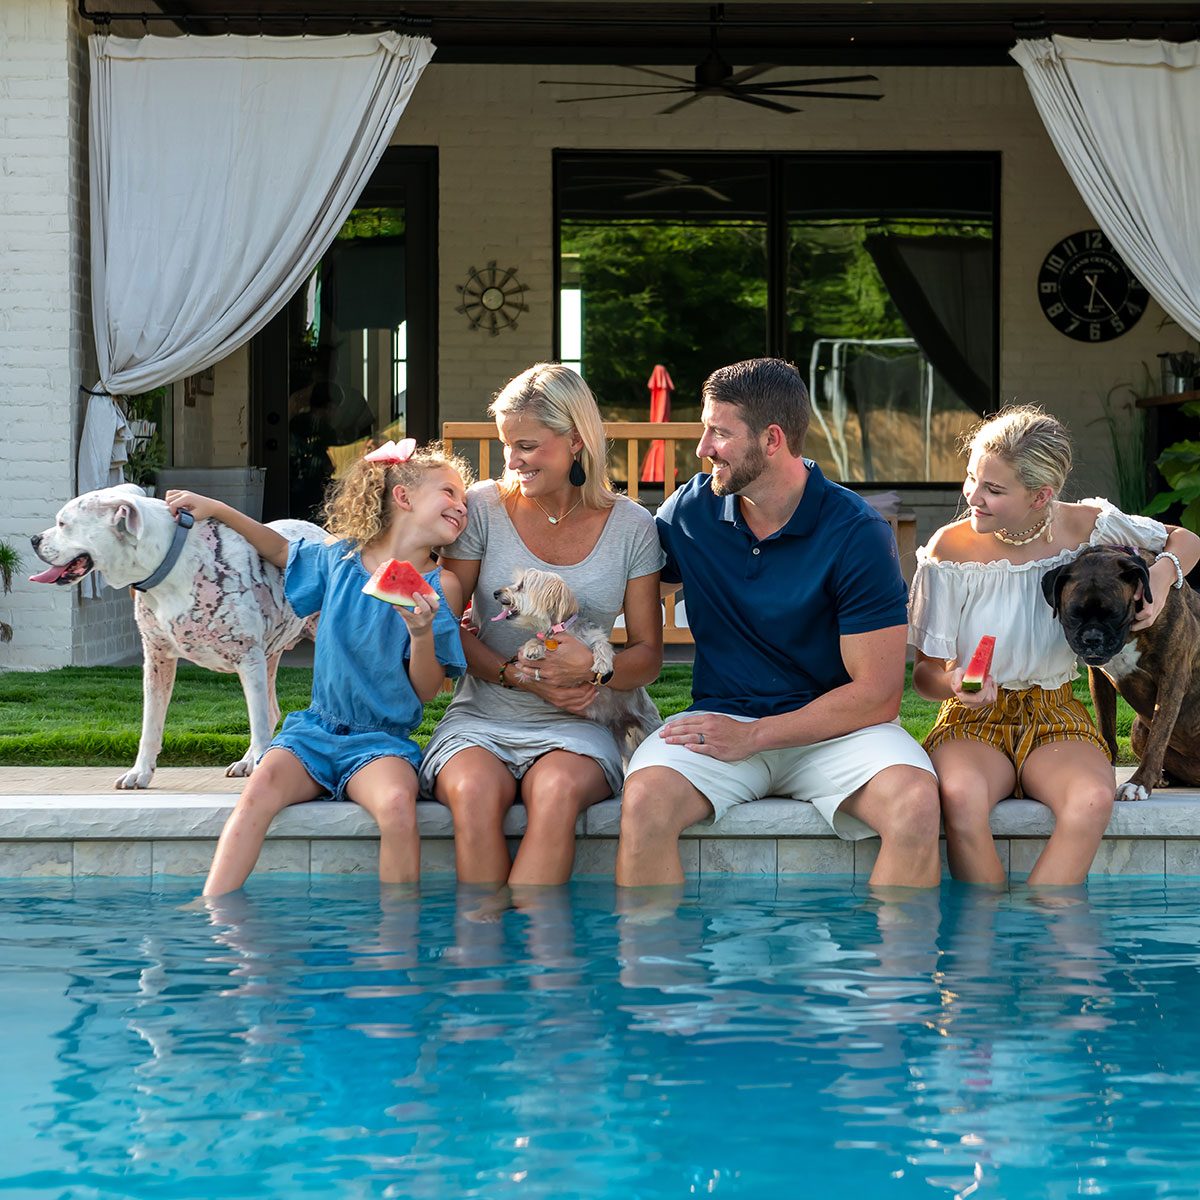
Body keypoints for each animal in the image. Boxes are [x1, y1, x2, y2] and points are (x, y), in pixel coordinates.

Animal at [31, 482, 324, 792]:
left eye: (63, 524)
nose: (34, 539)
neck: (169, 566)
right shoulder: (156, 661)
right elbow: (151, 725)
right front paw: (140, 772)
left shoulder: (248, 659)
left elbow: (257, 726)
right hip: (268, 658)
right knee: (270, 711)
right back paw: (246, 762)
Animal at [489, 568, 662, 758]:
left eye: (521, 586)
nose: (496, 593)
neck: (561, 629)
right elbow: (536, 643)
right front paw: (533, 647)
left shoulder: (594, 636)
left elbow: (602, 645)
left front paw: (602, 665)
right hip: (619, 737)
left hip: (648, 723)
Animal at [1041, 549, 1200, 801]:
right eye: (1074, 614)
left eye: (1114, 614)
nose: (1092, 638)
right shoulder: (1098, 679)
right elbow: (1107, 730)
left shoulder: (1172, 678)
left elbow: (1158, 737)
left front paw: (1139, 783)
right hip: (1137, 730)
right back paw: (1164, 778)